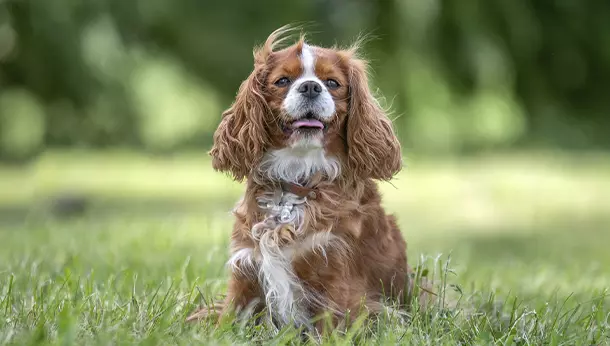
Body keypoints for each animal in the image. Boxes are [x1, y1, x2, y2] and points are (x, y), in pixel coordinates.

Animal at [188, 26, 426, 332]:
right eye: (283, 81)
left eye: (332, 83)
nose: (311, 87)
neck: (297, 176)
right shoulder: (246, 269)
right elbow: (227, 320)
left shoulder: (334, 271)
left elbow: (330, 327)